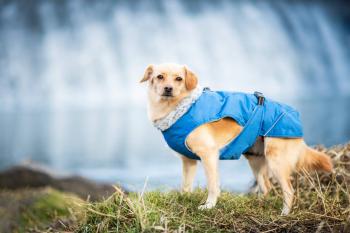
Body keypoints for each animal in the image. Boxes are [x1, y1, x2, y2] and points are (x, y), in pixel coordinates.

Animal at [140, 62, 334, 215]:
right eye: (159, 77)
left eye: (179, 79)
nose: (168, 89)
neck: (181, 108)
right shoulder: (188, 161)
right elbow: (186, 186)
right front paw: (184, 200)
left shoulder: (209, 155)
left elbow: (213, 185)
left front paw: (209, 206)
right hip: (256, 159)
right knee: (266, 186)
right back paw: (259, 203)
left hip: (276, 161)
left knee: (289, 190)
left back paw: (284, 214)